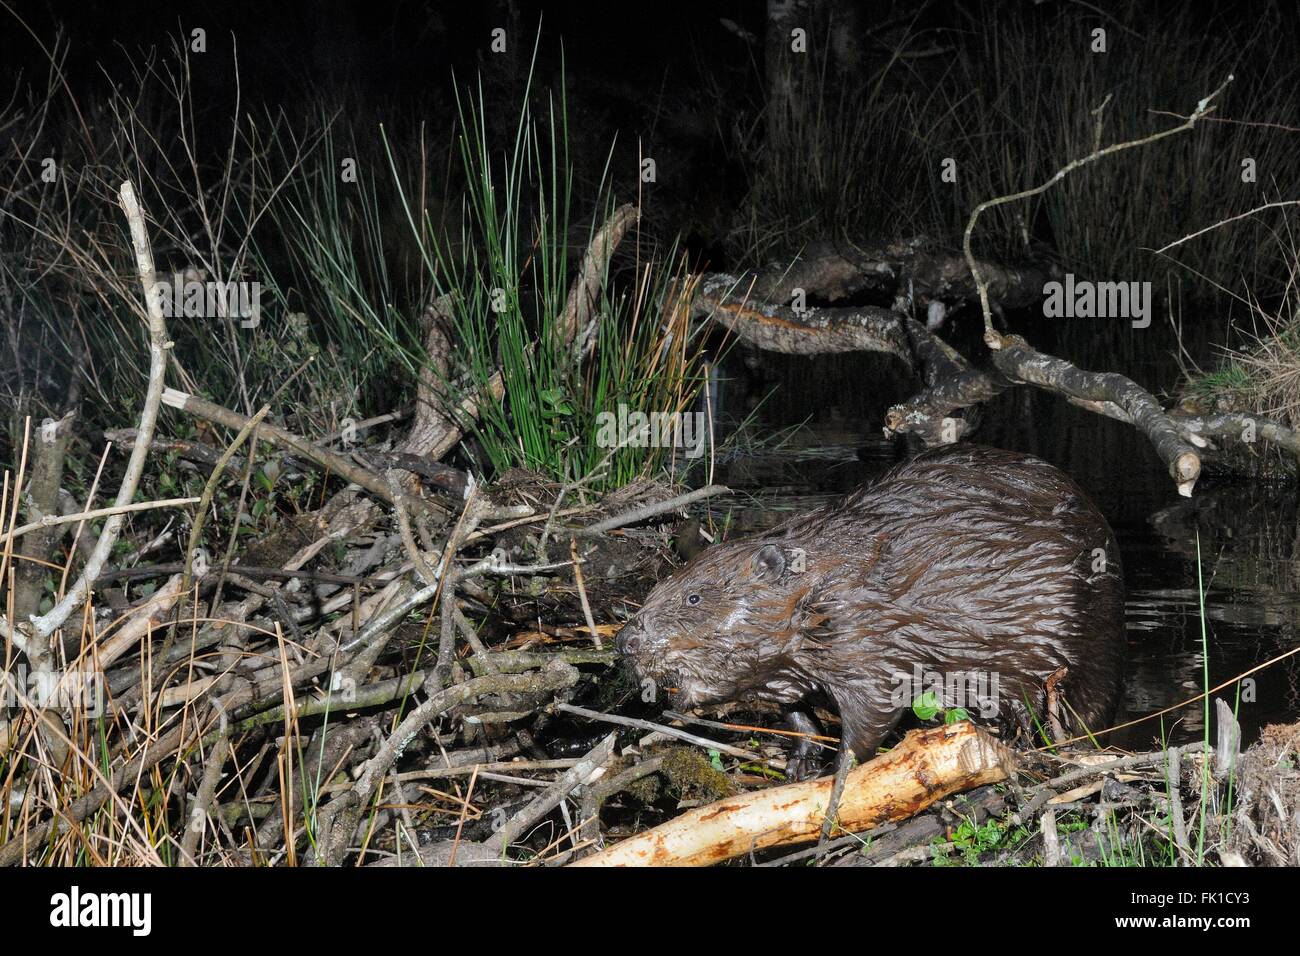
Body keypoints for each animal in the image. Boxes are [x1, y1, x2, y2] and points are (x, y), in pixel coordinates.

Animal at [618, 444, 1128, 780]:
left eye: (694, 598)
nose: (626, 641)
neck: (821, 578)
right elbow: (795, 710)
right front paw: (800, 761)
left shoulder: (866, 639)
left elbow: (872, 713)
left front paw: (836, 769)